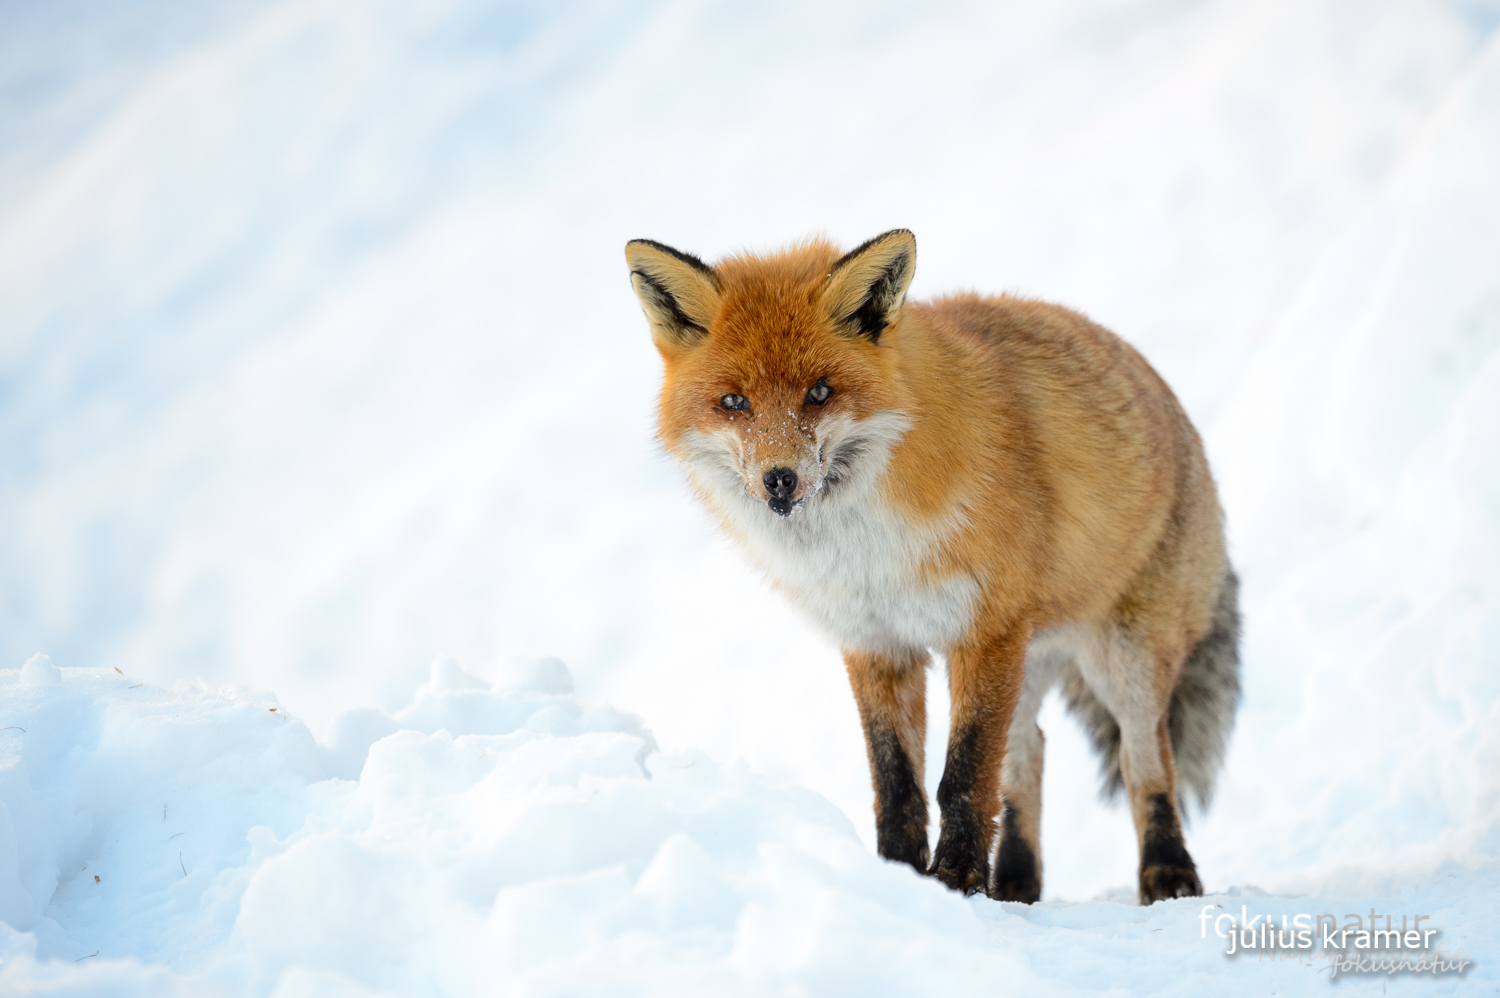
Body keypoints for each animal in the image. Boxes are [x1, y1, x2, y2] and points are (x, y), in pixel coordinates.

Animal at [624, 231, 1242, 900]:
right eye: (733, 402)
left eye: (819, 392)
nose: (779, 481)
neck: (866, 551)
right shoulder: (876, 643)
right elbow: (898, 783)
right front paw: (902, 878)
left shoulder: (982, 631)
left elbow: (964, 775)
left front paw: (957, 879)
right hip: (1028, 661)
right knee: (1030, 752)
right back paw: (1016, 882)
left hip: (1121, 659)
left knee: (1143, 758)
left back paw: (1167, 873)